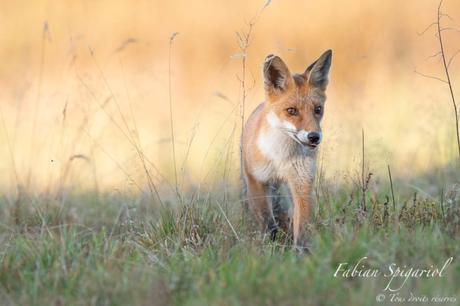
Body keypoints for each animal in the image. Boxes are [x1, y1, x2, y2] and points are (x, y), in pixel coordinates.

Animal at [241, 48, 330, 249]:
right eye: (291, 111)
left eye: (318, 109)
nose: (314, 137)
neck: (281, 157)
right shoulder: (256, 180)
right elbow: (267, 222)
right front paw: (270, 246)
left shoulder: (302, 183)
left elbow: (301, 225)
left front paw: (300, 252)